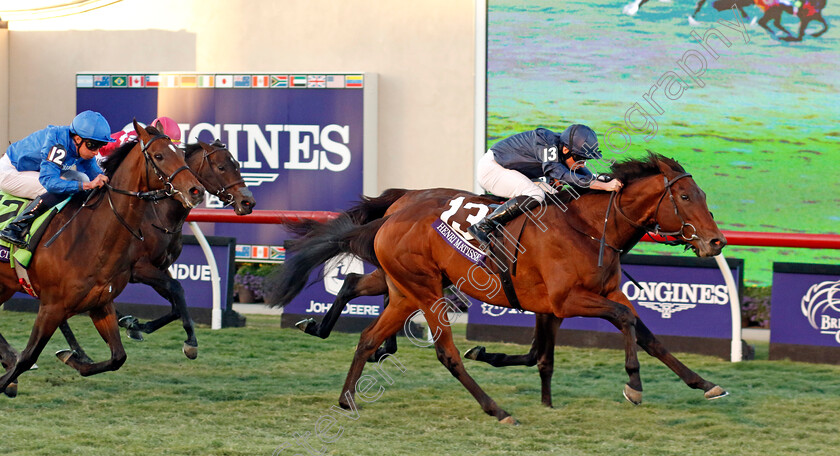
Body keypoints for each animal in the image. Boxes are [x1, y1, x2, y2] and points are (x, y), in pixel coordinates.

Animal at [0, 122, 203, 400]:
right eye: (159, 156)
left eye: (182, 154)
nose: (196, 190)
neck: (93, 237)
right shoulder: (52, 306)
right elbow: (27, 357)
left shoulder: (100, 303)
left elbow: (118, 357)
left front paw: (73, 359)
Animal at [57, 140, 254, 364]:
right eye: (221, 167)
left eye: (237, 164)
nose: (248, 202)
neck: (159, 214)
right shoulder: (139, 269)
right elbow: (177, 289)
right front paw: (190, 342)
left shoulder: (161, 267)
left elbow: (177, 302)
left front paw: (138, 326)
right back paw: (78, 350)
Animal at [278, 153, 728, 420]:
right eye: (685, 197)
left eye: (705, 194)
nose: (716, 242)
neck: (587, 228)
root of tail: (396, 211)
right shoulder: (566, 301)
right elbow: (622, 321)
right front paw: (633, 385)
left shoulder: (593, 295)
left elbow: (646, 335)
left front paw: (704, 383)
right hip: (426, 292)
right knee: (444, 353)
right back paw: (496, 408)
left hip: (405, 288)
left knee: (364, 318)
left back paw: (344, 386)